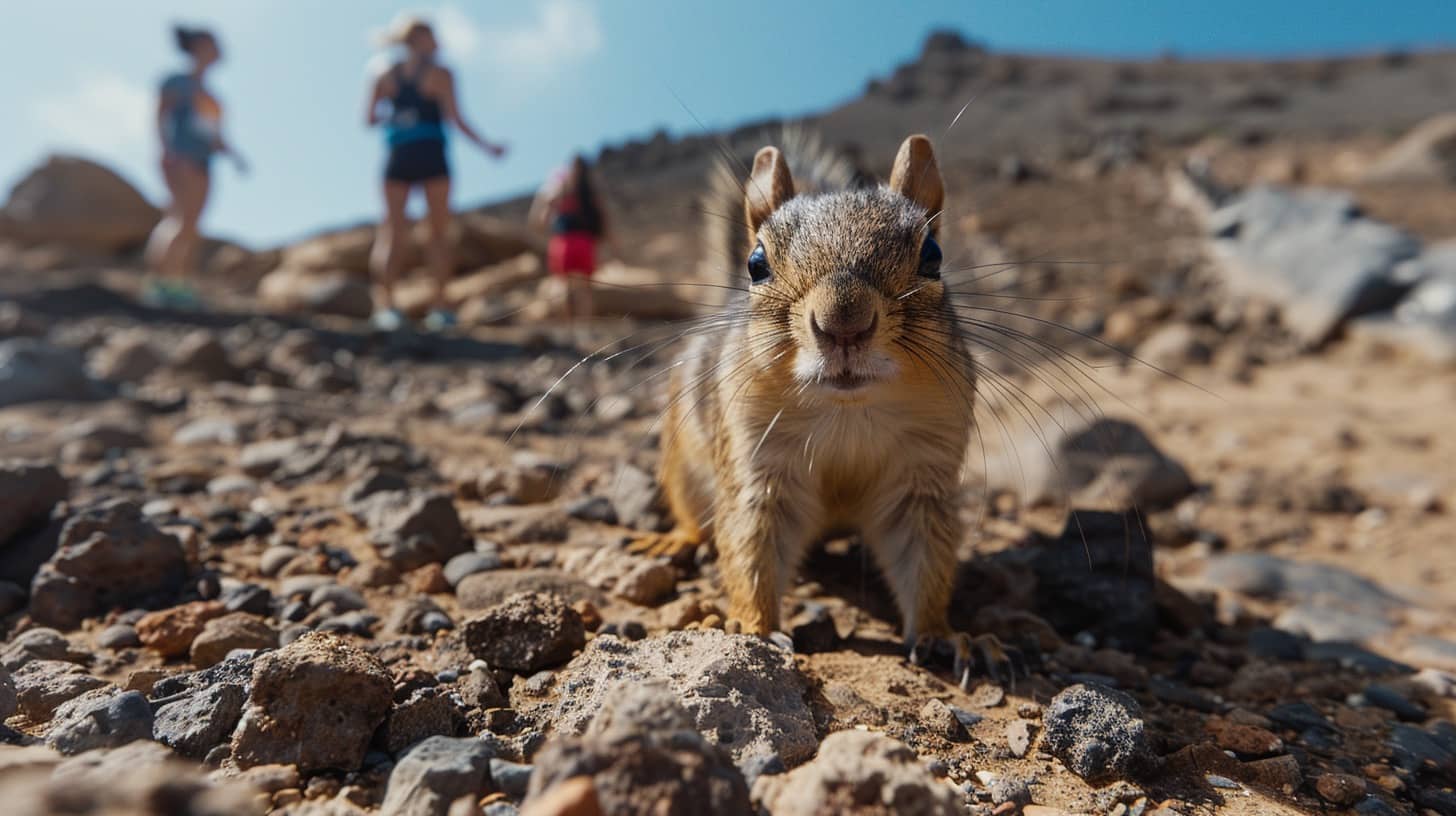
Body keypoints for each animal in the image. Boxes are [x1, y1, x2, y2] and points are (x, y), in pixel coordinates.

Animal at [631, 134, 1019, 681]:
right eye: (756, 264)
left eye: (934, 255)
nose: (844, 322)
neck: (847, 409)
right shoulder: (757, 461)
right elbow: (750, 543)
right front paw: (751, 627)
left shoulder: (921, 475)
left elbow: (924, 554)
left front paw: (944, 635)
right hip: (683, 463)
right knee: (694, 514)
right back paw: (677, 539)